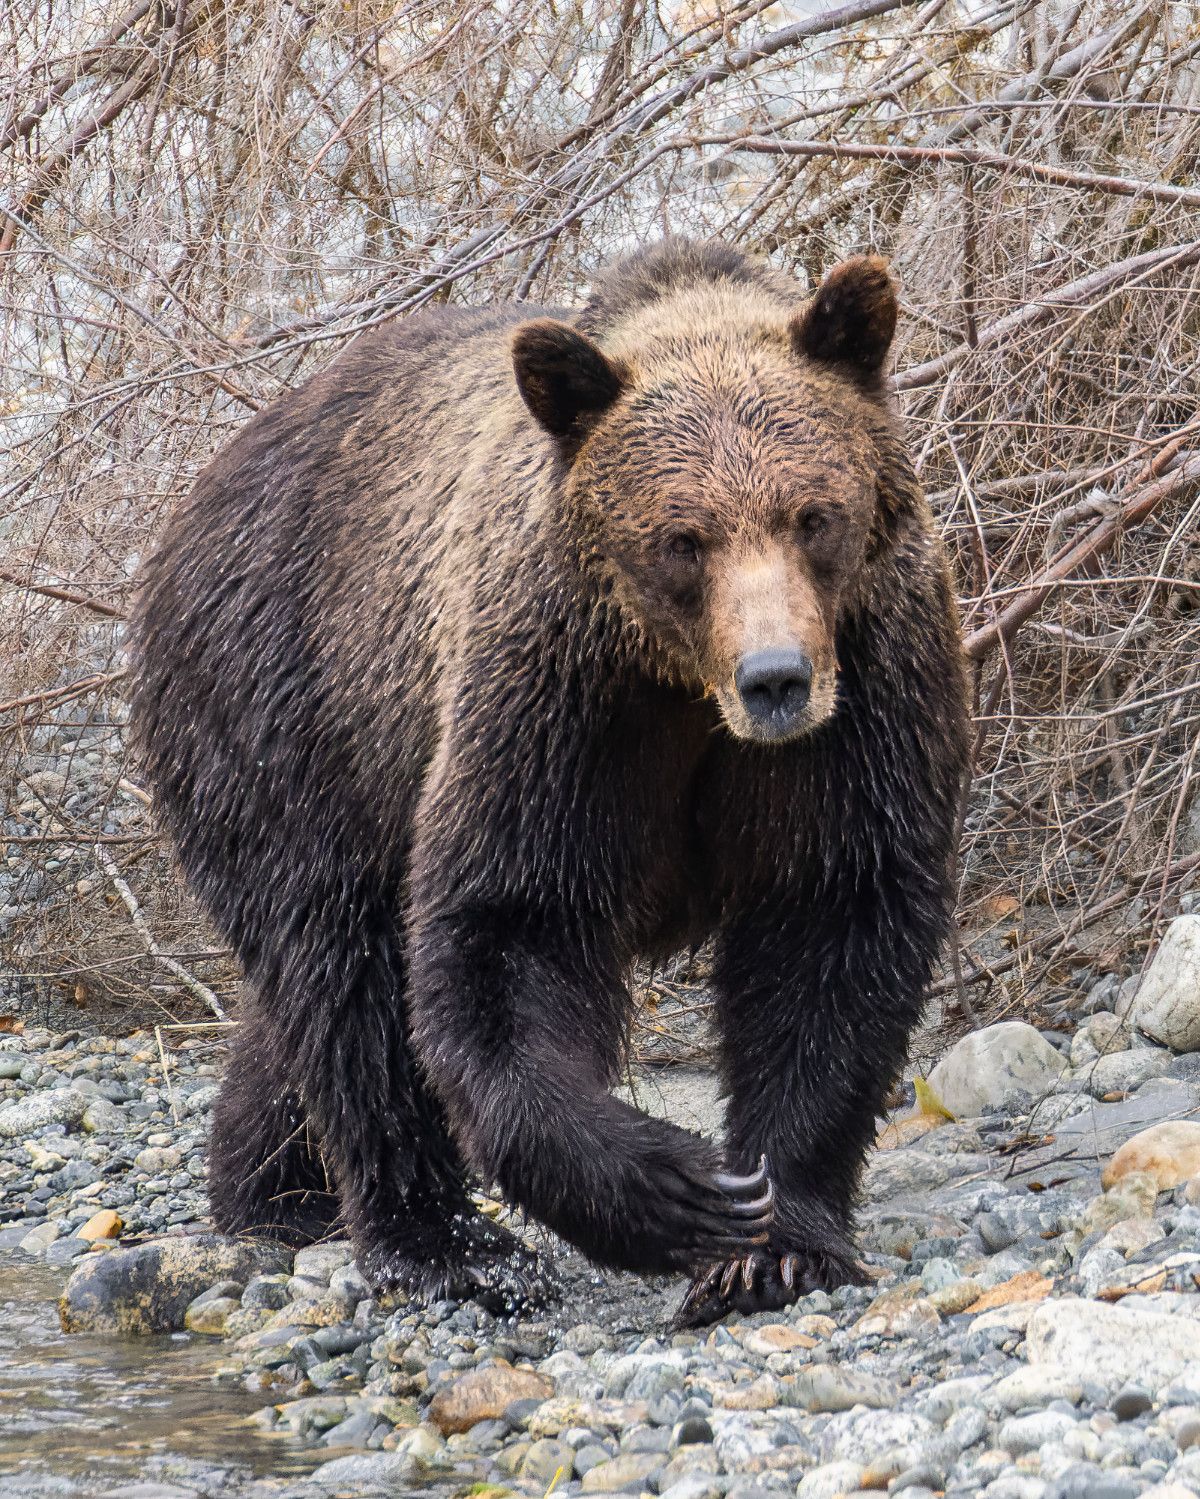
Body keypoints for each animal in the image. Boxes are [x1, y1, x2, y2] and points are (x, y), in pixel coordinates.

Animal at [131, 239, 970, 1331]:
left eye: (813, 516)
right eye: (683, 537)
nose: (777, 676)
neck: (684, 688)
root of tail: (190, 503)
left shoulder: (862, 690)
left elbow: (833, 917)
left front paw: (774, 1243)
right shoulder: (560, 699)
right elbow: (511, 921)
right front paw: (678, 1186)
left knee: (302, 1006)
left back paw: (272, 1187)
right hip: (287, 710)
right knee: (342, 972)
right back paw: (446, 1246)